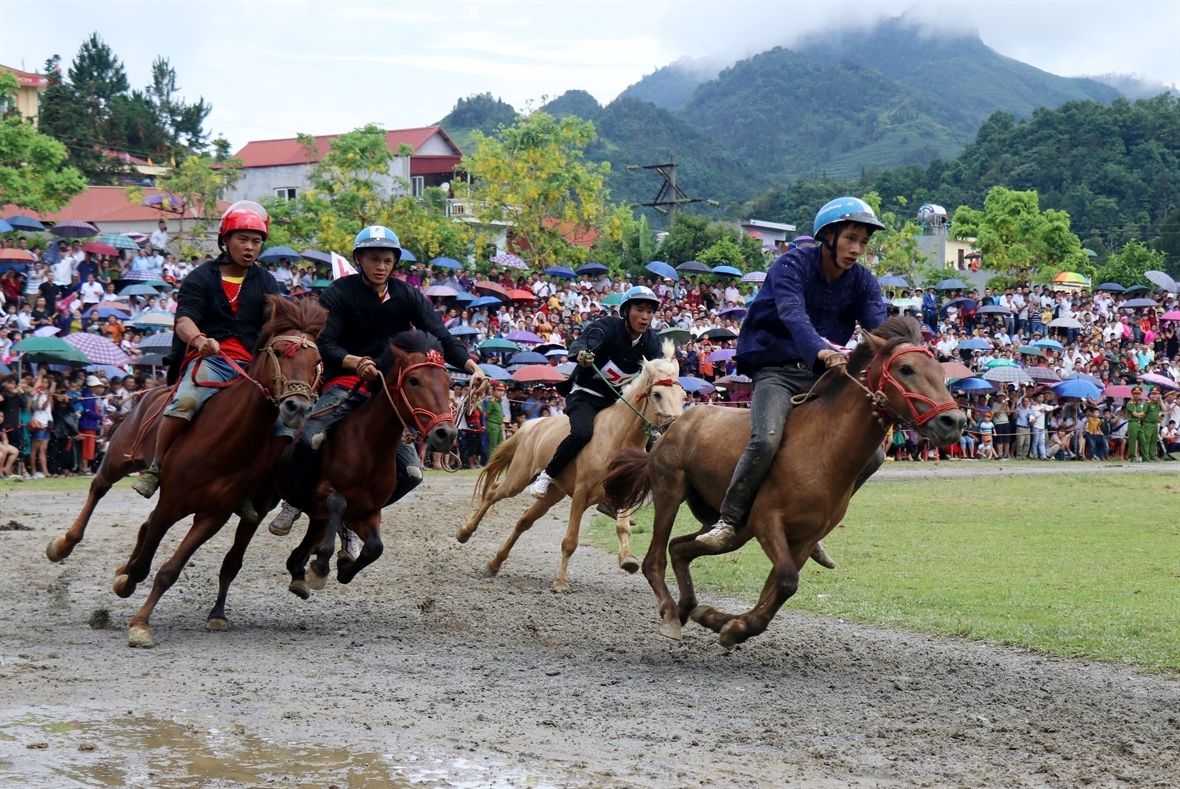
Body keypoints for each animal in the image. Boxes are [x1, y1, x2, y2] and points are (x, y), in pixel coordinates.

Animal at [47, 294, 328, 646]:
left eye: (316, 361)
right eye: (278, 353)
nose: (297, 407)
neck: (226, 442)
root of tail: (151, 391)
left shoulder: (212, 515)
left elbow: (171, 568)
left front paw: (141, 614)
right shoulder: (171, 502)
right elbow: (146, 561)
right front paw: (131, 598)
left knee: (144, 525)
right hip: (119, 456)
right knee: (99, 487)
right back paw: (64, 545)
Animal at [279, 327, 455, 596]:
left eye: (448, 383)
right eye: (414, 381)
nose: (446, 433)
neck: (368, 446)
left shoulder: (367, 513)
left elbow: (375, 547)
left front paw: (343, 568)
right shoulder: (321, 493)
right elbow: (338, 502)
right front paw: (321, 565)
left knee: (304, 547)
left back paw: (300, 570)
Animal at [455, 342, 689, 587]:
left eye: (683, 396)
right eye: (657, 394)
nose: (676, 428)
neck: (617, 438)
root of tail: (533, 425)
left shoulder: (624, 492)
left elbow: (622, 528)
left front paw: (628, 559)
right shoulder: (580, 493)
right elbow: (570, 540)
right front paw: (560, 581)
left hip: (552, 493)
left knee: (523, 521)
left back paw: (494, 563)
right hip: (518, 478)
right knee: (493, 493)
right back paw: (465, 532)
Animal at [604, 316, 962, 651]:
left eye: (939, 370)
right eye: (906, 369)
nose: (954, 421)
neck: (822, 449)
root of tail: (675, 425)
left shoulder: (804, 538)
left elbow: (775, 590)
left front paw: (724, 622)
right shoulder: (767, 522)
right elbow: (788, 581)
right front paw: (729, 625)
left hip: (730, 528)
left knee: (680, 548)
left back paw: (686, 607)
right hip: (671, 491)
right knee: (655, 559)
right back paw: (669, 613)